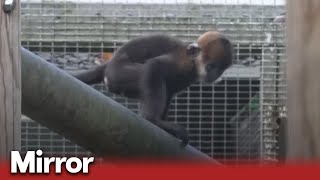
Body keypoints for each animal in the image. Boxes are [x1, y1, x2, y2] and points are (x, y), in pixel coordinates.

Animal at [71, 31, 234, 146]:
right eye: (211, 66)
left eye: (220, 69)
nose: (214, 75)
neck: (193, 64)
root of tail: (110, 64)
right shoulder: (181, 63)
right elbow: (155, 66)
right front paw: (156, 121)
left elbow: (170, 91)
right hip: (118, 74)